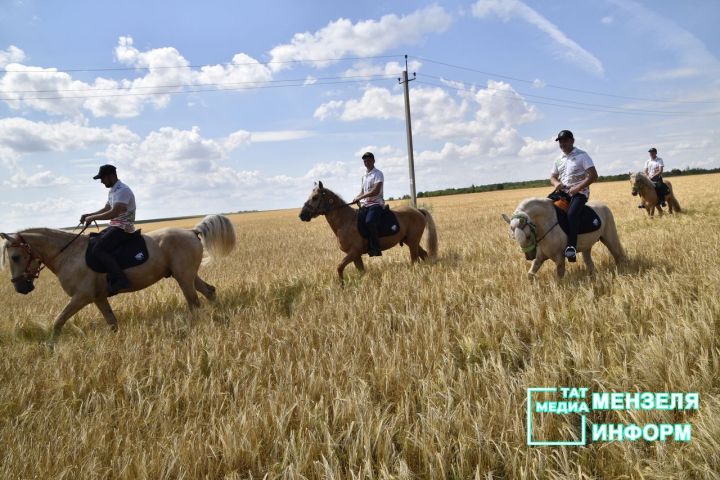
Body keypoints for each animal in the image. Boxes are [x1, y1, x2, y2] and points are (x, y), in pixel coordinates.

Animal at [0, 215, 236, 344]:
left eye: (15, 257)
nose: (20, 287)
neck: (68, 254)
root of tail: (191, 231)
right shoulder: (98, 298)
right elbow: (112, 322)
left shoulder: (81, 297)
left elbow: (59, 320)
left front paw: (50, 346)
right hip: (187, 275)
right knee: (209, 291)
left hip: (184, 278)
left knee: (194, 303)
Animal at [296, 182, 436, 284]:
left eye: (315, 197)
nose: (302, 215)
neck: (345, 221)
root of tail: (418, 211)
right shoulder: (355, 255)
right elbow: (361, 271)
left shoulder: (354, 252)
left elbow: (339, 267)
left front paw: (342, 285)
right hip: (410, 241)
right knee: (423, 254)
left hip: (412, 241)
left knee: (415, 260)